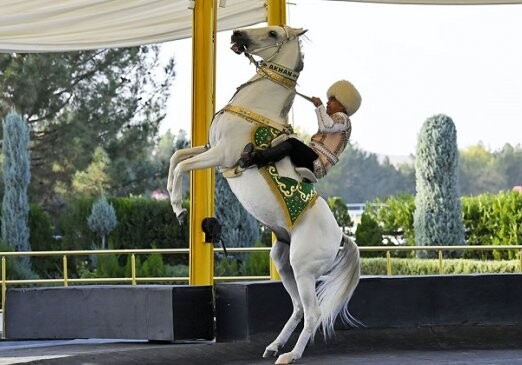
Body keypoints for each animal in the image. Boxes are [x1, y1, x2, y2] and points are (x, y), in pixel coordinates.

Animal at [169, 25, 360, 364]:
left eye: (272, 33)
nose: (237, 35)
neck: (255, 110)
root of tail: (341, 237)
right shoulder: (209, 147)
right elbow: (177, 157)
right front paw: (170, 198)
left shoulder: (221, 155)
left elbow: (183, 165)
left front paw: (179, 209)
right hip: (282, 260)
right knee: (297, 308)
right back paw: (273, 346)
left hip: (302, 268)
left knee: (312, 312)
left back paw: (290, 355)